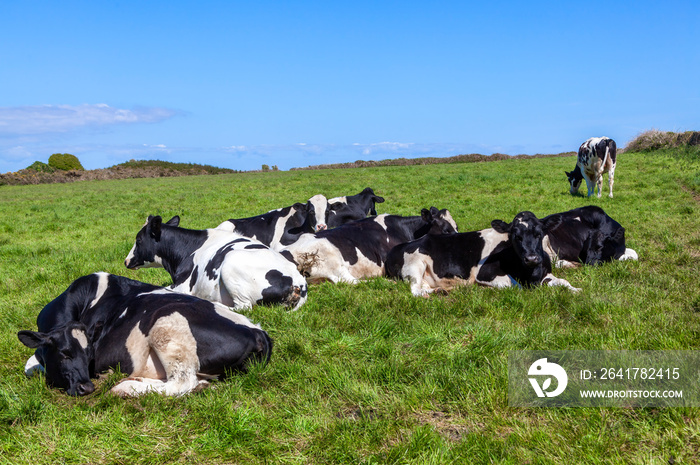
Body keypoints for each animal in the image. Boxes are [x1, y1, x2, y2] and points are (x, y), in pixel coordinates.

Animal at [18, 272, 270, 396]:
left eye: (90, 355)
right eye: (64, 353)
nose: (86, 387)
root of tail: (256, 330)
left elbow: (31, 366)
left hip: (167, 325)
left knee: (181, 382)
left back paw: (125, 387)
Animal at [123, 216, 308, 310]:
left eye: (138, 240)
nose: (126, 261)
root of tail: (298, 282)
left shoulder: (182, 286)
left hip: (231, 264)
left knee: (243, 307)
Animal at [382, 211, 580, 298]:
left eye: (539, 233)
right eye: (515, 236)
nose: (531, 258)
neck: (529, 274)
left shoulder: (545, 273)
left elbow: (563, 281)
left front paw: (576, 290)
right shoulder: (486, 273)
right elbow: (513, 286)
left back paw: (441, 290)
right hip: (415, 265)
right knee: (415, 290)